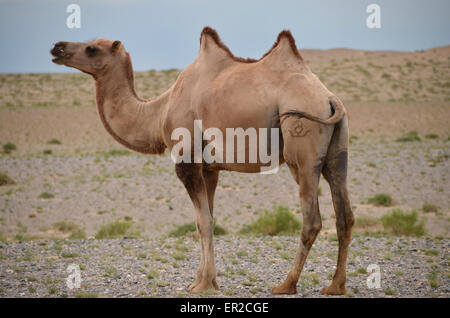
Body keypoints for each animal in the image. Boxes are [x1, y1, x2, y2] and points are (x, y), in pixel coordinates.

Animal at [51, 26, 354, 294]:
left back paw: (285, 285)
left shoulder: (186, 161)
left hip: (301, 151)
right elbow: (207, 217)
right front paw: (204, 280)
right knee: (345, 215)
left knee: (311, 219)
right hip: (337, 154)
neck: (159, 111)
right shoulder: (210, 168)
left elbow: (203, 221)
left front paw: (203, 284)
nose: (57, 47)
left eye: (91, 48)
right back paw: (335, 286)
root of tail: (329, 99)